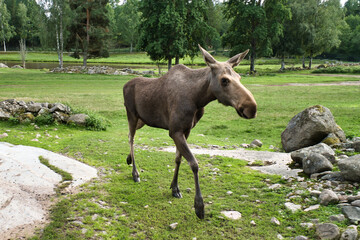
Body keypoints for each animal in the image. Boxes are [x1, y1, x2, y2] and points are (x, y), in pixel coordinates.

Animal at [123, 45, 256, 219]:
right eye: (224, 80)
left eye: (239, 77)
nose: (251, 107)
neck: (198, 99)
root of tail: (124, 85)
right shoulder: (174, 131)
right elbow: (193, 163)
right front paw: (199, 205)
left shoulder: (186, 130)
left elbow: (178, 159)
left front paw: (175, 188)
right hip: (131, 114)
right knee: (131, 138)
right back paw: (135, 173)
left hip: (142, 119)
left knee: (128, 135)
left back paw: (128, 159)